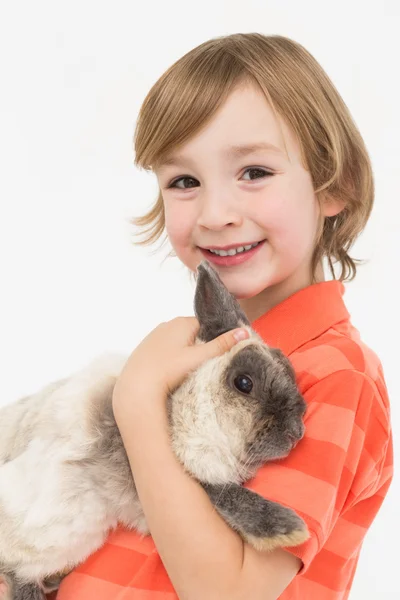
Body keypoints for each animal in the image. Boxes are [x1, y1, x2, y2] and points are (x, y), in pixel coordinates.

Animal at [0, 258, 310, 600]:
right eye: (244, 382)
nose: (297, 432)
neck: (175, 409)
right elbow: (220, 493)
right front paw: (289, 530)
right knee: (16, 570)